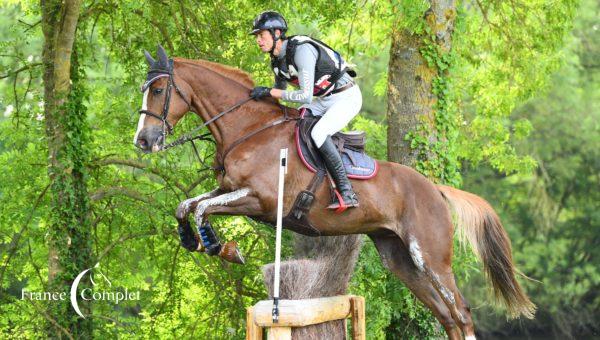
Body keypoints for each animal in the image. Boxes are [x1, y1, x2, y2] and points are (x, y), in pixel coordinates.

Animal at [135, 46, 536, 338]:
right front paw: (193, 239)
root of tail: (435, 190)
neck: (250, 129)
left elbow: (203, 209)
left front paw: (224, 249)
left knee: (460, 313)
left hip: (431, 258)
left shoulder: (259, 200)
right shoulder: (228, 189)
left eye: (158, 90)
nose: (143, 141)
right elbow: (187, 205)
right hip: (399, 258)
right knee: (446, 317)